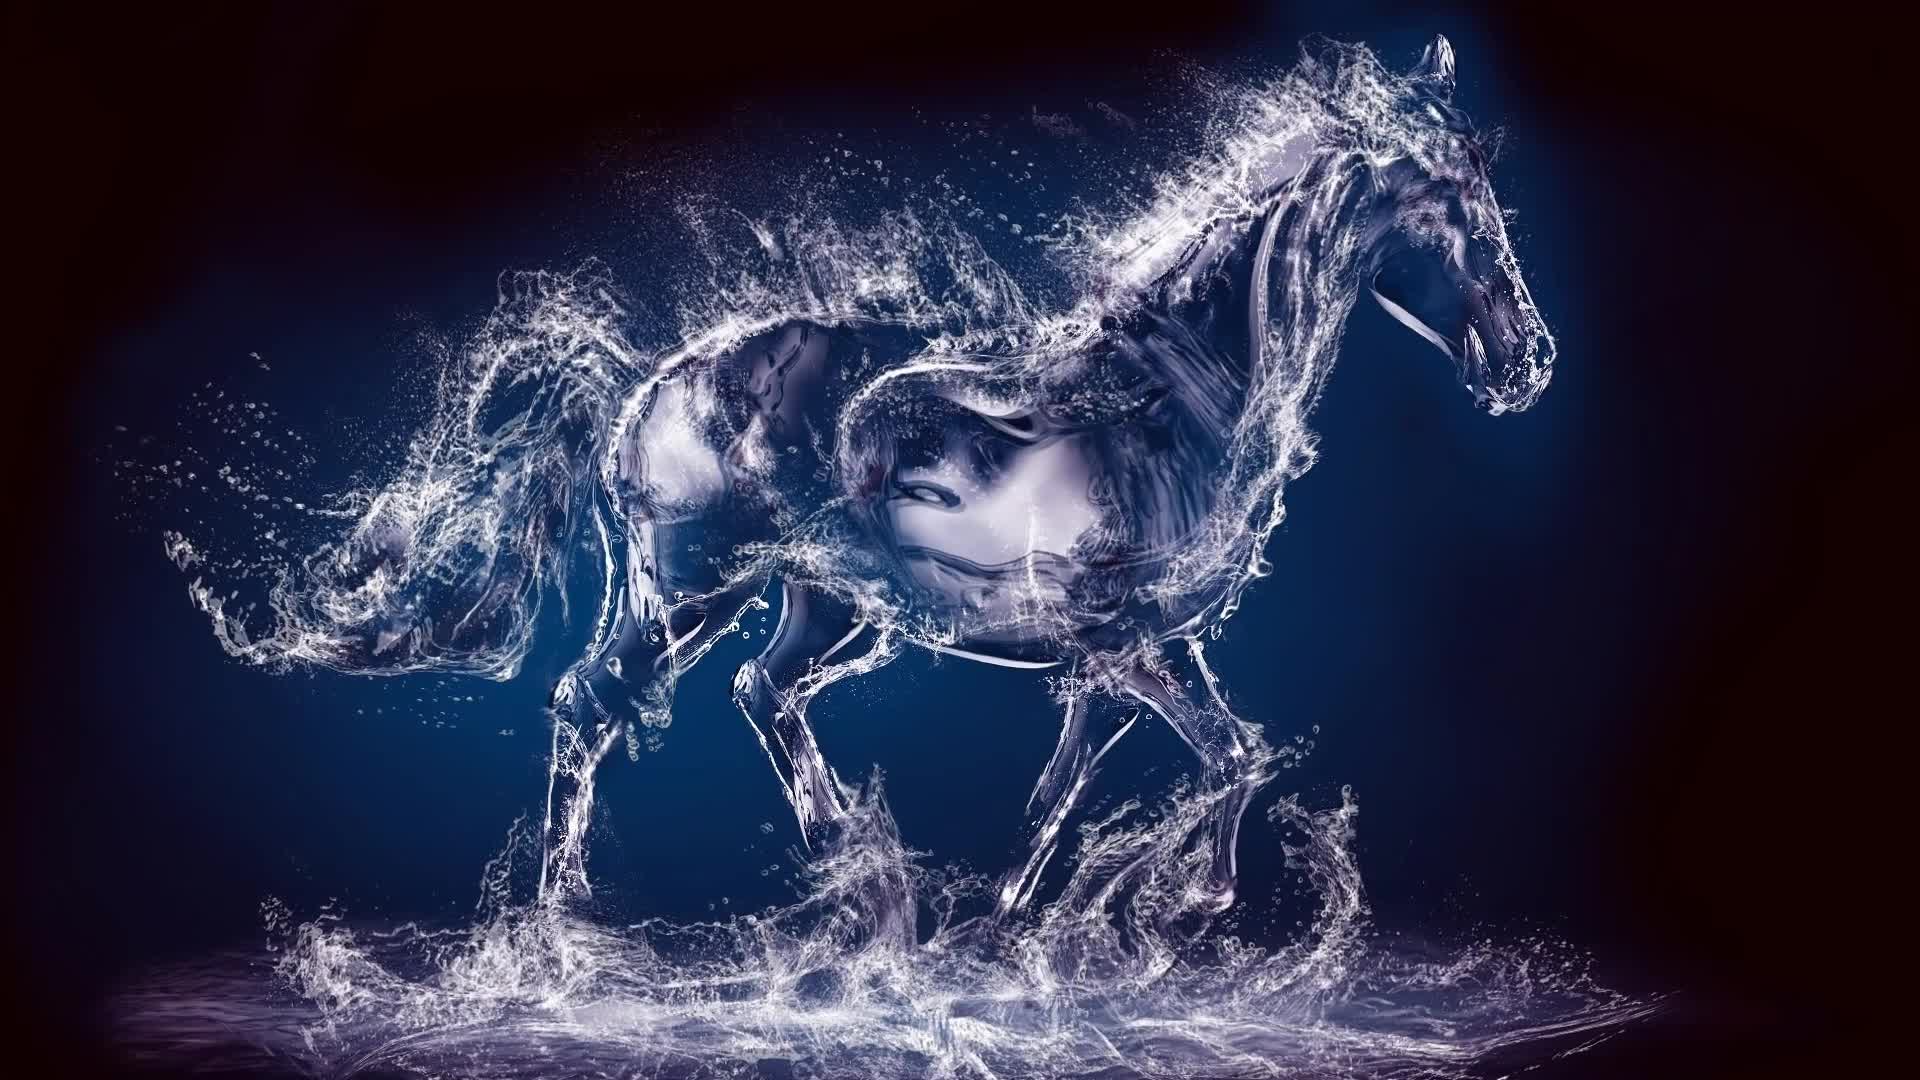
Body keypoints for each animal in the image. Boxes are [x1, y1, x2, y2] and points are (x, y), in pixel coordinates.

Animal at [527, 36, 1556, 920]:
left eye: (1487, 184)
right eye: (1446, 201)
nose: (1529, 364)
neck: (1177, 400)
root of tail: (646, 394)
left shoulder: (1130, 663)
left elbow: (1063, 796)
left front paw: (1011, 919)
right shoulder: (1126, 650)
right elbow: (1233, 756)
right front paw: (1186, 896)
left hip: (830, 607)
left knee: (761, 688)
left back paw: (850, 865)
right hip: (688, 594)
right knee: (588, 700)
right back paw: (562, 912)